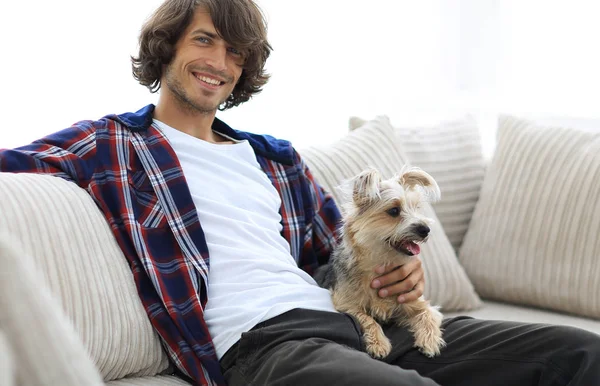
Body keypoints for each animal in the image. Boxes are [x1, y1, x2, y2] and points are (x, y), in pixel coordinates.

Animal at [318, 167, 446, 360]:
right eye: (393, 211)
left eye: (416, 208)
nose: (426, 229)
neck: (381, 264)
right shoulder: (345, 304)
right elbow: (367, 319)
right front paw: (379, 343)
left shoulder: (415, 301)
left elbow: (427, 314)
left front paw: (429, 341)